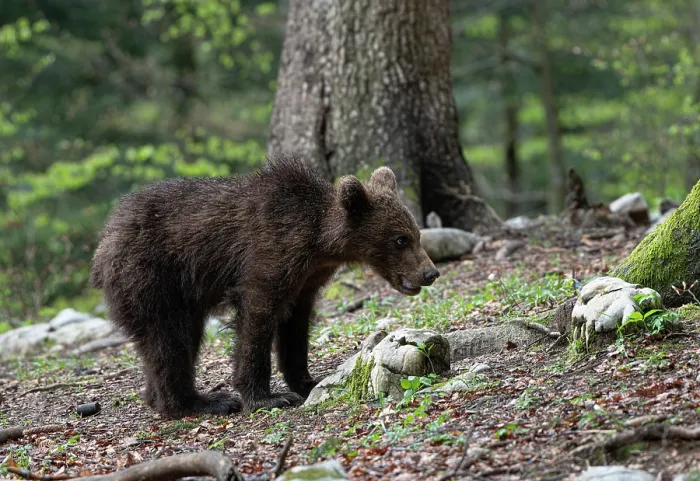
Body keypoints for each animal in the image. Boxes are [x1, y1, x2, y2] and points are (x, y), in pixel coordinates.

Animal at [89, 154, 440, 418]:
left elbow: (295, 327)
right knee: (168, 339)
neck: (318, 243)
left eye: (416, 234)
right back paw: (201, 402)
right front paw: (266, 396)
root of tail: (104, 239)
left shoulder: (307, 279)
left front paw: (306, 380)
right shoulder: (271, 252)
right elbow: (258, 317)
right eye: (400, 239)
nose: (430, 273)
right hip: (152, 277)